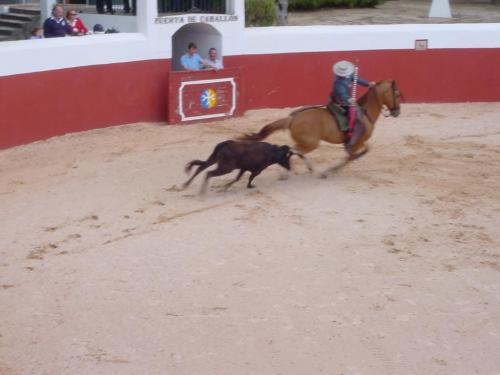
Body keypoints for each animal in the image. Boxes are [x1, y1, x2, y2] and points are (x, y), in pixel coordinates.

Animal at [239, 79, 402, 173]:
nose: (397, 112)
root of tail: (292, 119)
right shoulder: (357, 142)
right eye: (397, 94)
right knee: (293, 149)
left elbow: (361, 151)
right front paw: (332, 170)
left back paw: (305, 168)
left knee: (295, 150)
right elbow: (355, 154)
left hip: (307, 142)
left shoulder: (357, 142)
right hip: (311, 143)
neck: (365, 111)